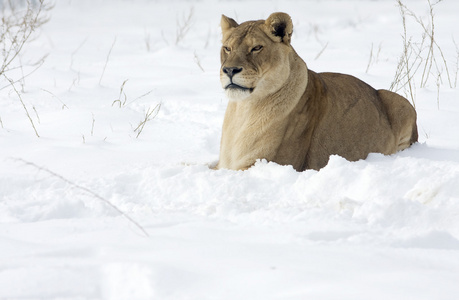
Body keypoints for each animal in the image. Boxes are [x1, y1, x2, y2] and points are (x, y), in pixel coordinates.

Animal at [216, 12, 416, 171]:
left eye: (257, 48)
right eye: (227, 48)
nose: (230, 70)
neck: (244, 108)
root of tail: (374, 89)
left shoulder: (270, 163)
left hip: (400, 101)